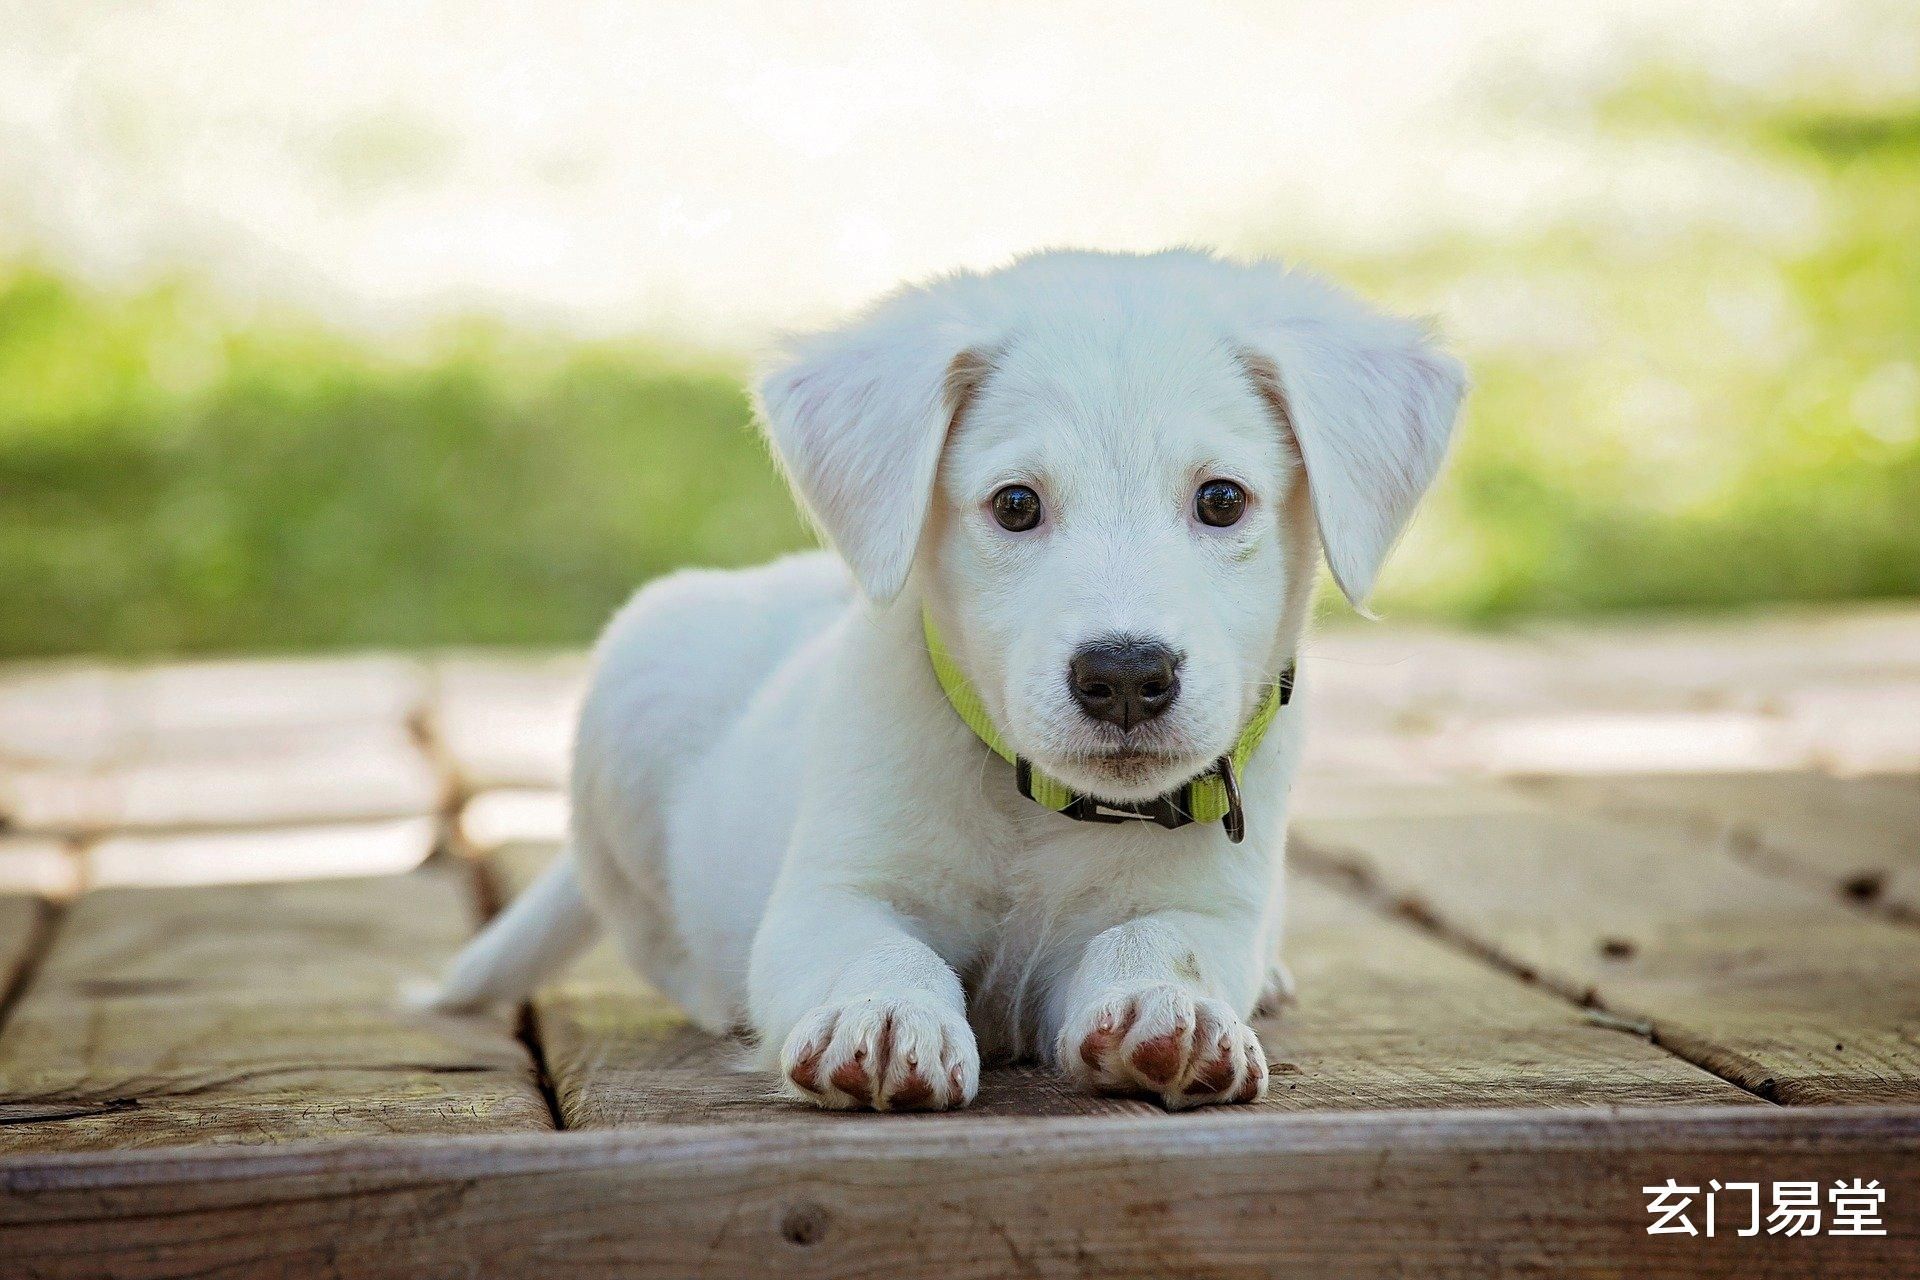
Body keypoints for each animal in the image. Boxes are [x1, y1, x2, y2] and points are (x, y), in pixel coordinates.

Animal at [432, 249, 1451, 1113]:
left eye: (1223, 500)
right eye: (1016, 505)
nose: (1126, 675)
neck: (1039, 809)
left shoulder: (1209, 905)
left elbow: (1160, 940)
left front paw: (1173, 1010)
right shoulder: (832, 893)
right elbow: (877, 950)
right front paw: (886, 1017)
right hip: (633, 695)